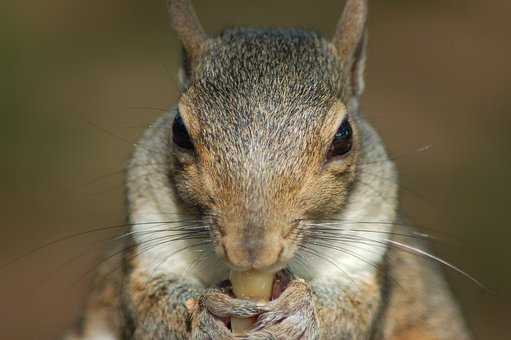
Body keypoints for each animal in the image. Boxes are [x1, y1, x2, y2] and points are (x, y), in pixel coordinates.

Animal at [64, 0, 472, 340]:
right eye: (179, 131)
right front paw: (206, 313)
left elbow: (350, 312)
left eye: (343, 137)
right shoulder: (148, 238)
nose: (252, 253)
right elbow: (150, 306)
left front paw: (302, 312)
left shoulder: (365, 255)